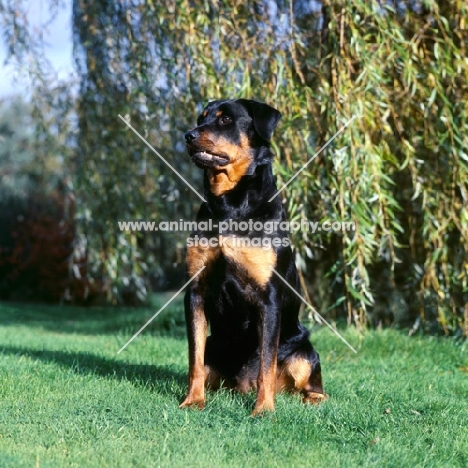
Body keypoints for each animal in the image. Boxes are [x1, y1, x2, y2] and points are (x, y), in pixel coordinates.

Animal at [179, 98, 326, 414]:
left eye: (226, 120)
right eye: (201, 118)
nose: (188, 135)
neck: (229, 205)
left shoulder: (267, 296)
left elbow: (266, 364)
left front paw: (263, 410)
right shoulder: (195, 291)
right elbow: (194, 359)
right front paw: (193, 400)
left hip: (304, 352)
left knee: (311, 382)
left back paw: (308, 399)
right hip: (215, 347)